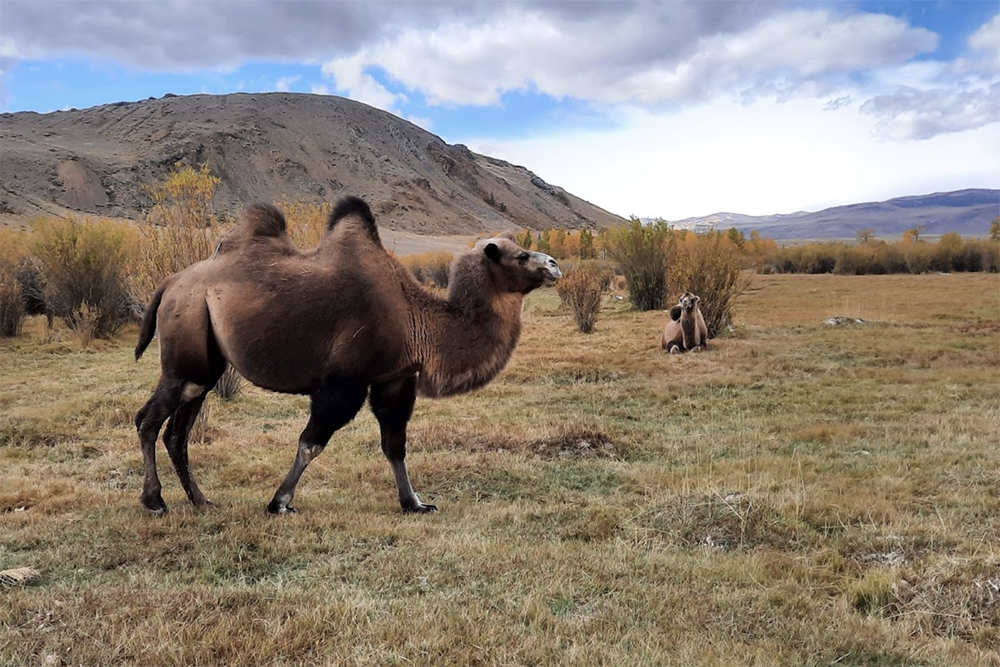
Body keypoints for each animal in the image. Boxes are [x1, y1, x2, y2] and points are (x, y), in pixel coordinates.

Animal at [131, 196, 564, 516]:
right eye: (519, 255)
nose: (554, 264)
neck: (415, 317)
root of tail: (170, 282)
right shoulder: (344, 383)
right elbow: (311, 442)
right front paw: (280, 503)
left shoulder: (394, 379)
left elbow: (395, 444)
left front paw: (415, 503)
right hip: (186, 345)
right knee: (148, 420)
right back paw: (155, 502)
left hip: (205, 366)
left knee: (178, 432)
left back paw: (201, 501)